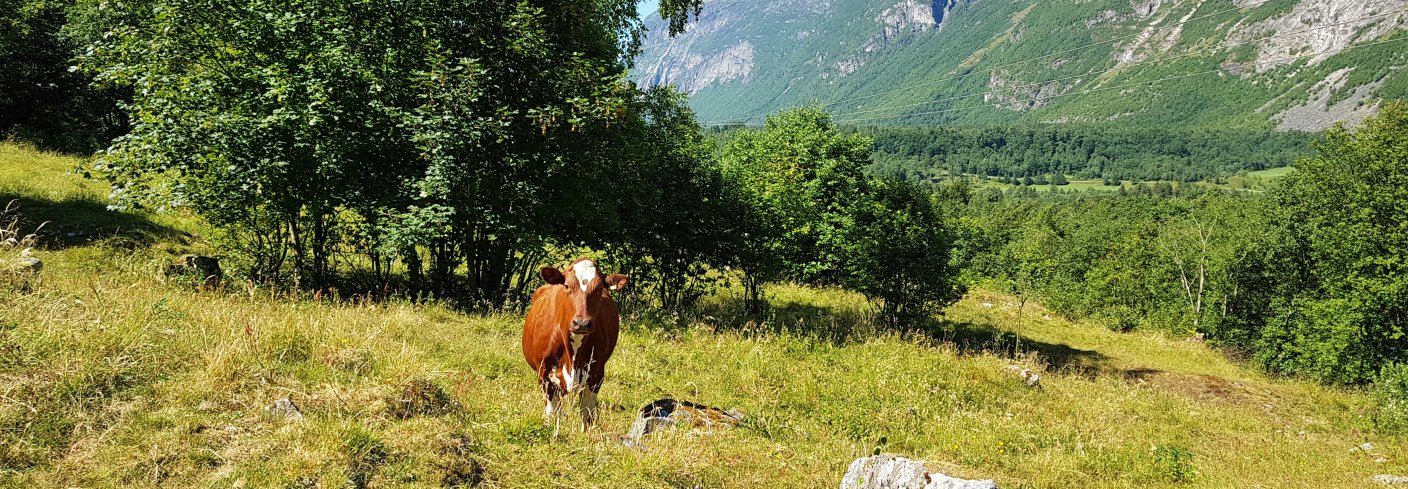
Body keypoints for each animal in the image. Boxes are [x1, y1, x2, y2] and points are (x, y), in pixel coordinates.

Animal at [523, 259, 627, 431]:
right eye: (566, 286)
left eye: (599, 288)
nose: (582, 323)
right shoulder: (543, 373)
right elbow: (552, 411)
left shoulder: (597, 373)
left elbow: (587, 412)